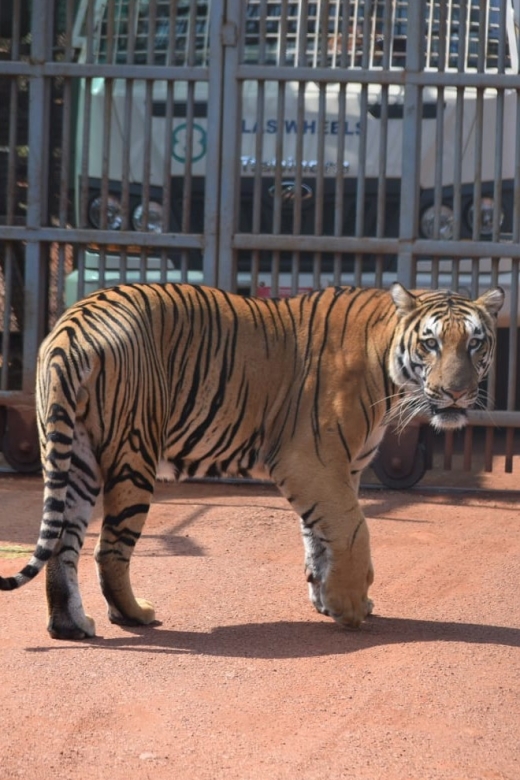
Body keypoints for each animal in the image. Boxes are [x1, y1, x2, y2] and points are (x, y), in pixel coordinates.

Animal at [0, 282, 504, 639]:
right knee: (108, 549)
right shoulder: (312, 460)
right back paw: (135, 615)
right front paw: (351, 607)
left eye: (475, 344)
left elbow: (318, 536)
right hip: (132, 454)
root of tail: (73, 323)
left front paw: (326, 599)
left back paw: (70, 626)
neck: (389, 368)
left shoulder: (340, 469)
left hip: (74, 456)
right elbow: (352, 529)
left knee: (63, 546)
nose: (457, 392)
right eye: (431, 344)